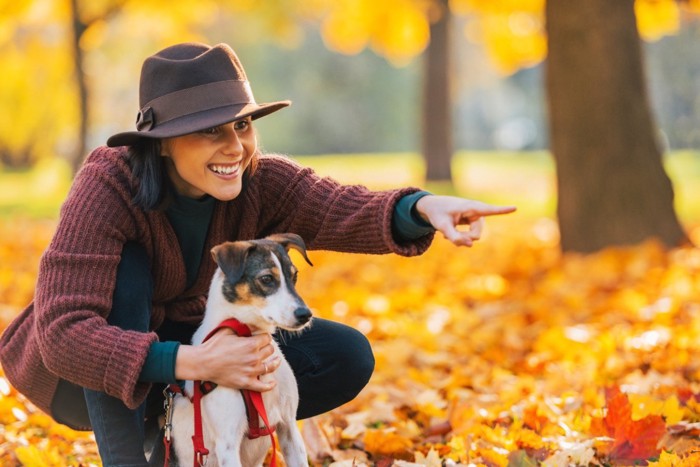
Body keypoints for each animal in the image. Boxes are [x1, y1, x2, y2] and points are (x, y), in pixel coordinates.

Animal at [170, 234, 312, 467]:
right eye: (266, 279)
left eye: (295, 276)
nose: (305, 315)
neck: (246, 334)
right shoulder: (227, 442)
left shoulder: (289, 427)